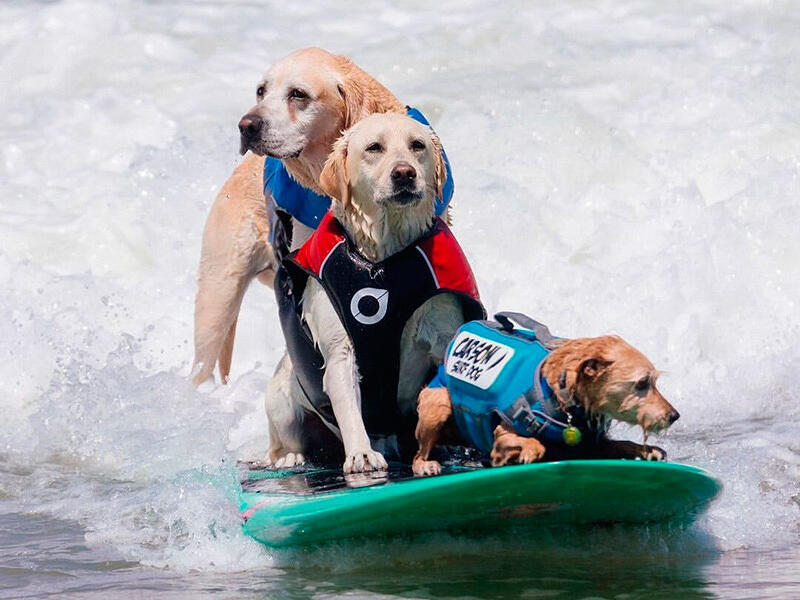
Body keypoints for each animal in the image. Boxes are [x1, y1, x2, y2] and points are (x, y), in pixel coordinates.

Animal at [412, 316, 680, 476]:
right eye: (642, 382)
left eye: (654, 381)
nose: (674, 416)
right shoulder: (503, 431)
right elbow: (529, 443)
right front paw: (520, 453)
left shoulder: (592, 443)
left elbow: (621, 444)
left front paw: (648, 450)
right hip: (437, 406)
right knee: (418, 452)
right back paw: (425, 463)